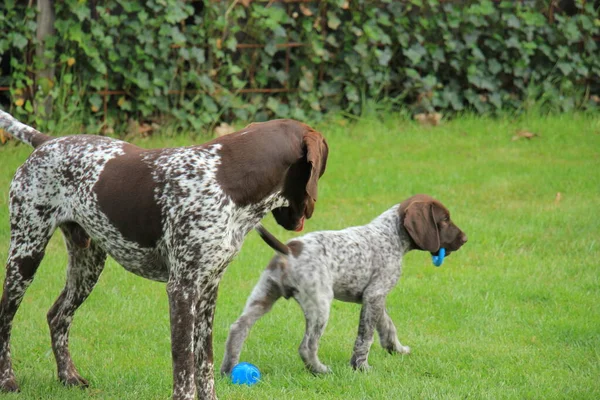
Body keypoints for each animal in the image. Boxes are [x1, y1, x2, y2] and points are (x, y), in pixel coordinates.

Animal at [0, 110, 328, 400]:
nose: (311, 208)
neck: (227, 182)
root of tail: (46, 141)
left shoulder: (208, 290)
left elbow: (204, 362)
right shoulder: (182, 289)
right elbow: (184, 365)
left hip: (87, 265)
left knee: (58, 316)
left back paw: (67, 376)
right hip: (26, 252)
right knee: (6, 317)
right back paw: (8, 381)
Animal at [221, 195, 468, 376]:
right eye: (444, 219)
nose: (465, 239)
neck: (391, 234)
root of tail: (289, 250)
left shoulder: (375, 298)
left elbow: (387, 326)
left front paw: (396, 349)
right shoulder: (374, 295)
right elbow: (365, 337)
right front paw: (361, 367)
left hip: (262, 296)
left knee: (238, 329)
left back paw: (228, 369)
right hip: (320, 305)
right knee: (307, 346)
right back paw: (320, 370)